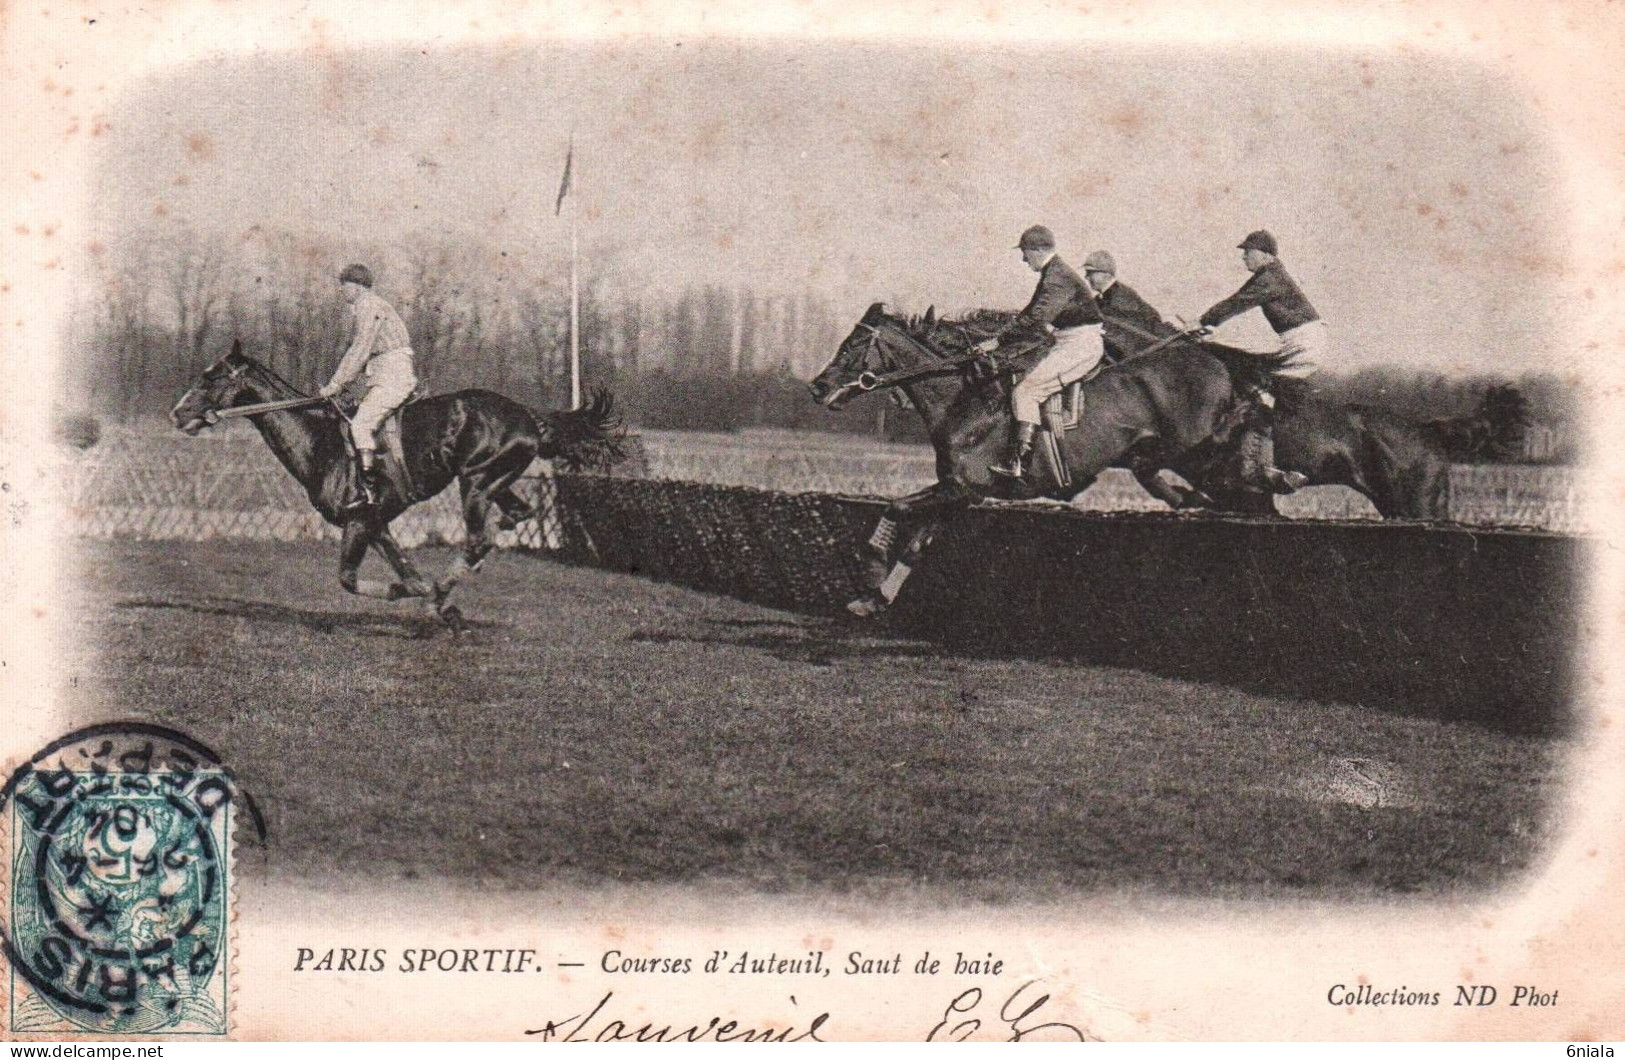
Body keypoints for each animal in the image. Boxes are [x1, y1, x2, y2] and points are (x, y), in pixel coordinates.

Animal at [168, 341, 617, 630]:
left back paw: (445, 587)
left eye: (211, 377)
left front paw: (427, 598)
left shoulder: (360, 520)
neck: (319, 439)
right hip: (493, 481)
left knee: (479, 538)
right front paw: (435, 602)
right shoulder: (377, 523)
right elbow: (407, 569)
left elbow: (349, 580)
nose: (177, 414)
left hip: (475, 482)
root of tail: (529, 416)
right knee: (516, 515)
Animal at [806, 302, 1287, 617]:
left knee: (1247, 473)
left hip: (1198, 452)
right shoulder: (959, 492)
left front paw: (870, 570)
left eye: (851, 347)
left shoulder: (964, 487)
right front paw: (874, 597)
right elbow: (915, 543)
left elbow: (896, 507)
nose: (816, 387)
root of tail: (1215, 361)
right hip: (1179, 456)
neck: (965, 401)